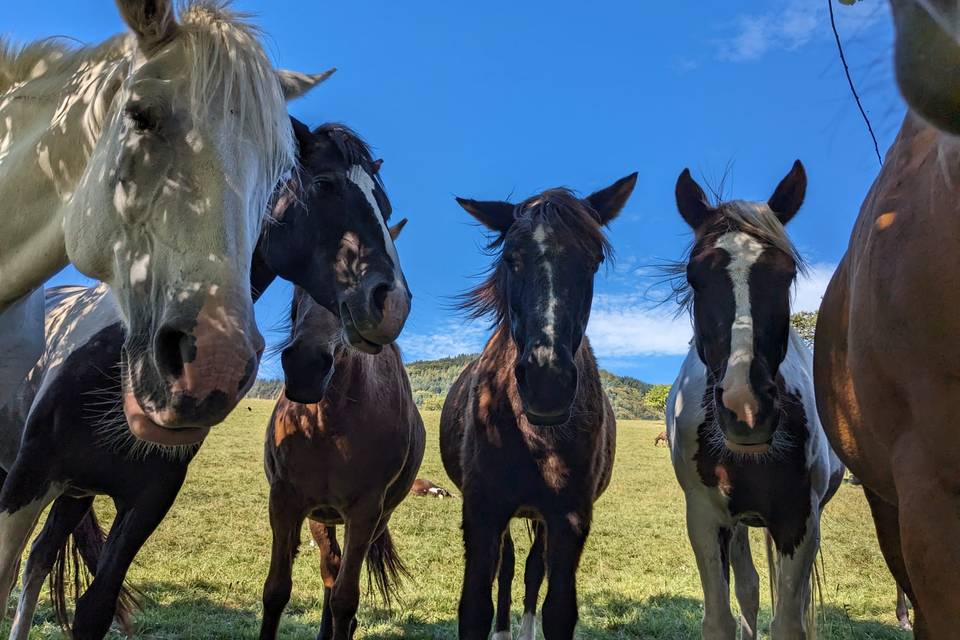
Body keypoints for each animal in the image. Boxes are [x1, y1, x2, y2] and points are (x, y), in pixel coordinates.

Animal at [260, 278, 424, 640]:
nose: (306, 366)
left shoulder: (365, 512)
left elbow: (346, 599)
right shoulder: (284, 501)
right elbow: (276, 590)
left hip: (374, 521)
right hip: (321, 517)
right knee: (331, 568)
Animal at [439, 174, 636, 640]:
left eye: (593, 259)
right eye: (511, 258)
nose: (548, 381)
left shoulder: (568, 519)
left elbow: (557, 606)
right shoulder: (483, 512)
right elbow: (476, 605)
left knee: (531, 569)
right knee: (509, 567)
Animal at [666, 162, 844, 640]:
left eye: (786, 273)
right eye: (694, 276)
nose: (745, 407)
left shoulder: (799, 518)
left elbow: (789, 621)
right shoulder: (706, 518)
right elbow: (722, 617)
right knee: (748, 587)